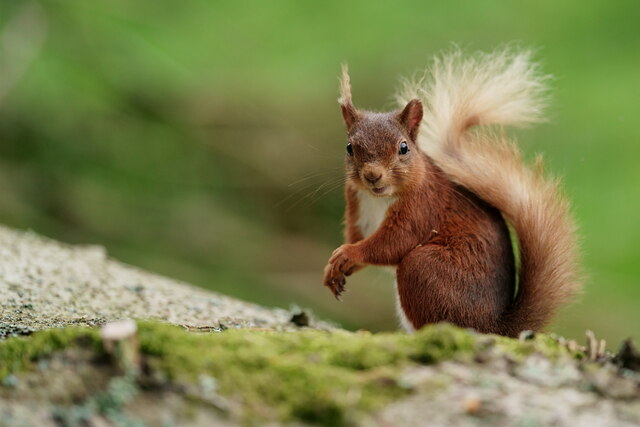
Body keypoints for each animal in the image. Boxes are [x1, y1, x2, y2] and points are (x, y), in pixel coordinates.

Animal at [322, 49, 584, 338]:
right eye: (349, 147)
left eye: (403, 147)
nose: (372, 175)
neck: (378, 198)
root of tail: (493, 328)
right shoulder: (357, 207)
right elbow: (361, 238)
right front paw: (333, 267)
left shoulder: (422, 205)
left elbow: (392, 243)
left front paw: (349, 253)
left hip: (424, 268)